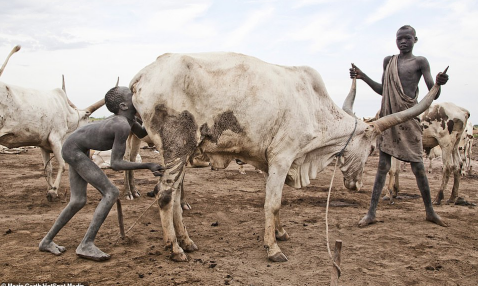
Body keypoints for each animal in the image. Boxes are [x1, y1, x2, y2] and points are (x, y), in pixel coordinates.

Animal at [0, 45, 105, 201]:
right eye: (87, 120)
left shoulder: (43, 144)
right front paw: (53, 191)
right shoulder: (55, 139)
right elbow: (62, 165)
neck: (67, 116)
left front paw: (49, 188)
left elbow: (48, 168)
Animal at [128, 52, 444, 262]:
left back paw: (187, 241)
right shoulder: (282, 157)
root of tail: (142, 76)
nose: (357, 185)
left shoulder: (272, 163)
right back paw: (175, 248)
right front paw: (273, 248)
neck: (313, 106)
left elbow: (276, 203)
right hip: (177, 148)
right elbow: (273, 203)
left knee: (176, 199)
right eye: (372, 149)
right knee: (165, 196)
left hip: (180, 154)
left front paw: (280, 234)